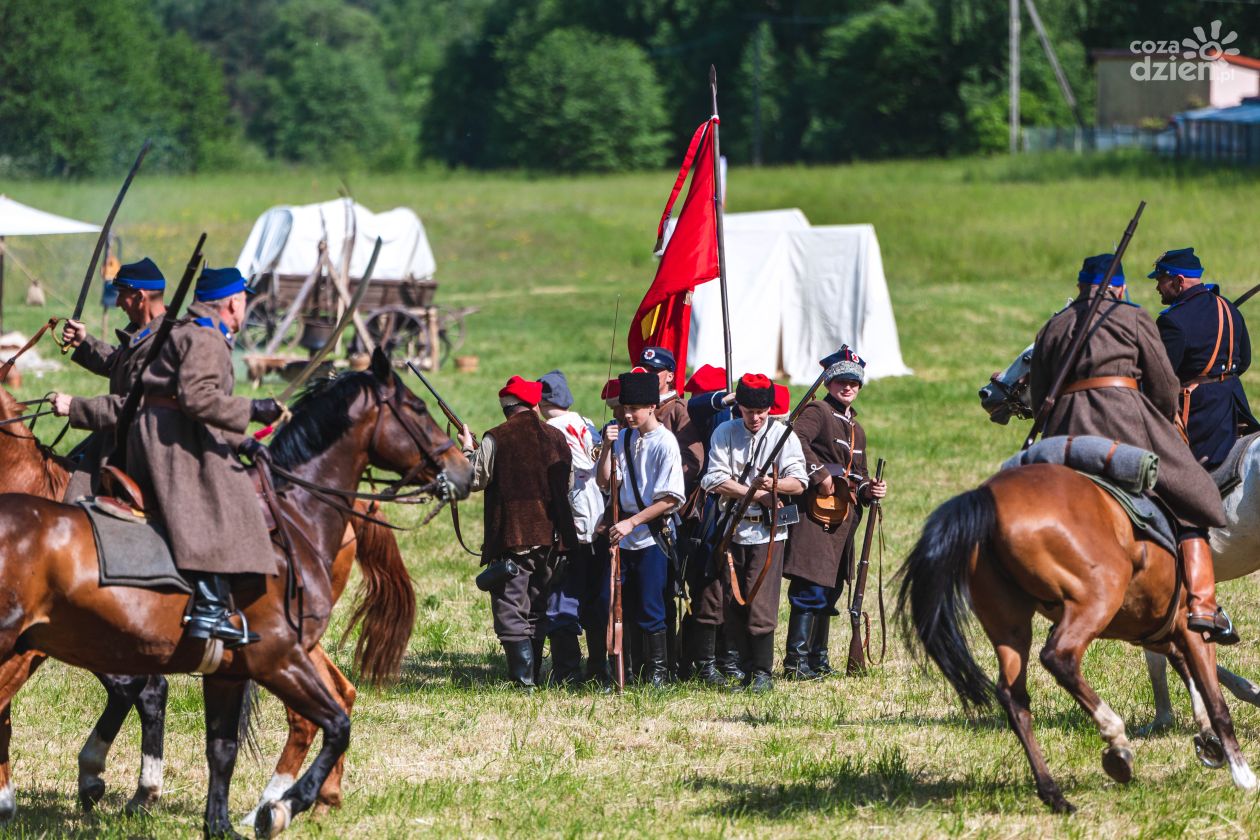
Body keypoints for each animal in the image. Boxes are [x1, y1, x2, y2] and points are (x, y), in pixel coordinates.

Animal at [0, 352, 473, 836]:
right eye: (417, 407)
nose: (464, 469)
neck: (297, 518)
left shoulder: (251, 663)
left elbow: (221, 740)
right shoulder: (261, 662)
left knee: (324, 706)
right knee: (333, 701)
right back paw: (303, 800)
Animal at [902, 465, 1254, 816]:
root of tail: (987, 498)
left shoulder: (1162, 633)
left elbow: (1189, 673)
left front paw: (1209, 738)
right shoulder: (1191, 629)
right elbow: (1215, 698)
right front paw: (1242, 773)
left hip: (1010, 626)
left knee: (1014, 697)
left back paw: (1054, 794)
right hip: (1097, 597)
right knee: (1059, 657)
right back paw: (1115, 739)